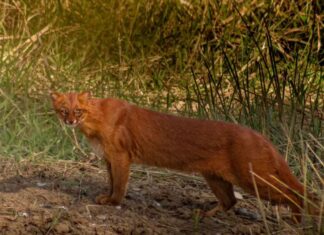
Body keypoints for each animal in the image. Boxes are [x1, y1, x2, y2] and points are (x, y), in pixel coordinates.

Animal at [51, 91, 314, 220]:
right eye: (63, 110)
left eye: (78, 110)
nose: (70, 121)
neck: (94, 125)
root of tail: (260, 136)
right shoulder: (108, 157)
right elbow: (111, 181)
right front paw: (104, 197)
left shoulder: (120, 155)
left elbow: (120, 184)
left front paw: (112, 202)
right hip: (214, 176)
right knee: (231, 200)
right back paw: (202, 214)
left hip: (252, 176)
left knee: (295, 193)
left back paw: (296, 222)